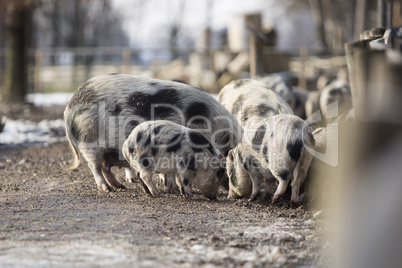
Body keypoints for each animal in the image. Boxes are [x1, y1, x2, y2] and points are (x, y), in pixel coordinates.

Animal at [62, 73, 239, 193]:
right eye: (226, 157)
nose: (228, 187)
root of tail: (70, 105)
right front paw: (173, 189)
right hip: (89, 141)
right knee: (95, 167)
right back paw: (107, 189)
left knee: (106, 168)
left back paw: (120, 186)